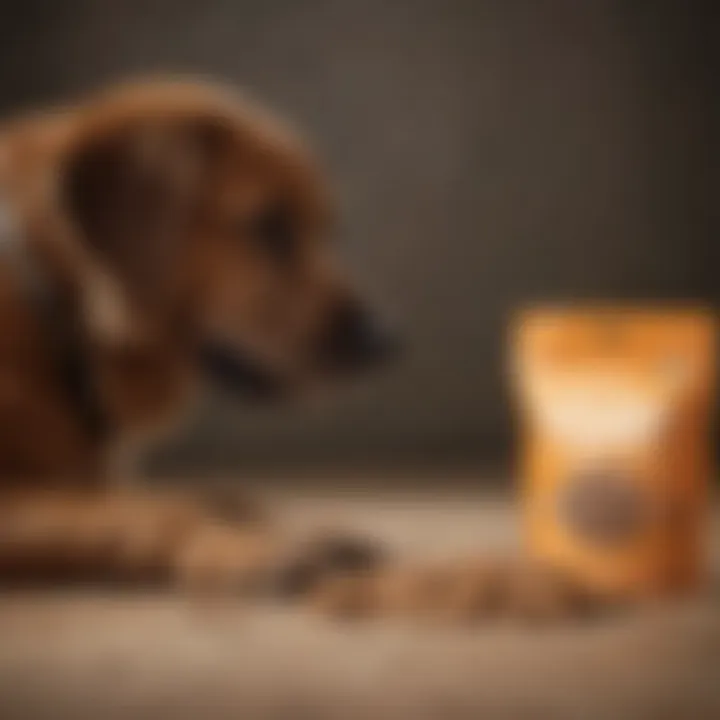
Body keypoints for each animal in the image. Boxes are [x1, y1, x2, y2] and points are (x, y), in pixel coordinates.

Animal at [0, 79, 600, 620]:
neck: (57, 318)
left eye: (327, 227)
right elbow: (155, 513)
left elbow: (190, 501)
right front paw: (258, 550)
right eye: (269, 226)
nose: (387, 338)